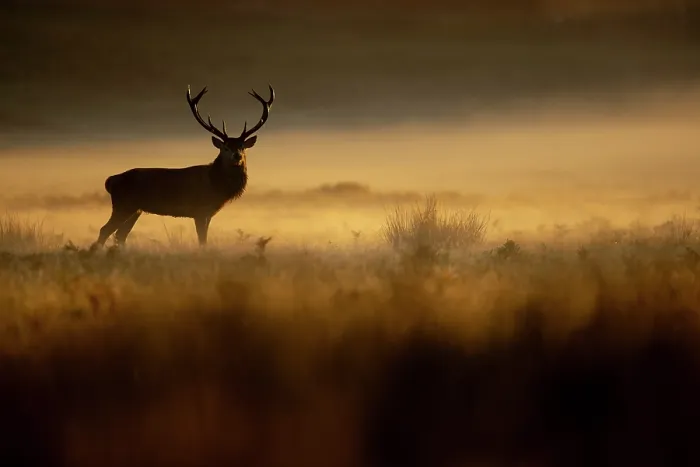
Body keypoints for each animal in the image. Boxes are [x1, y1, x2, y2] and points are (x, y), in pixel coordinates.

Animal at [89, 84, 275, 251]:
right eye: (225, 147)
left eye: (242, 146)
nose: (237, 156)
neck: (215, 184)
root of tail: (110, 181)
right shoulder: (200, 210)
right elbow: (202, 240)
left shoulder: (208, 213)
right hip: (123, 205)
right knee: (105, 230)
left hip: (136, 209)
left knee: (120, 235)